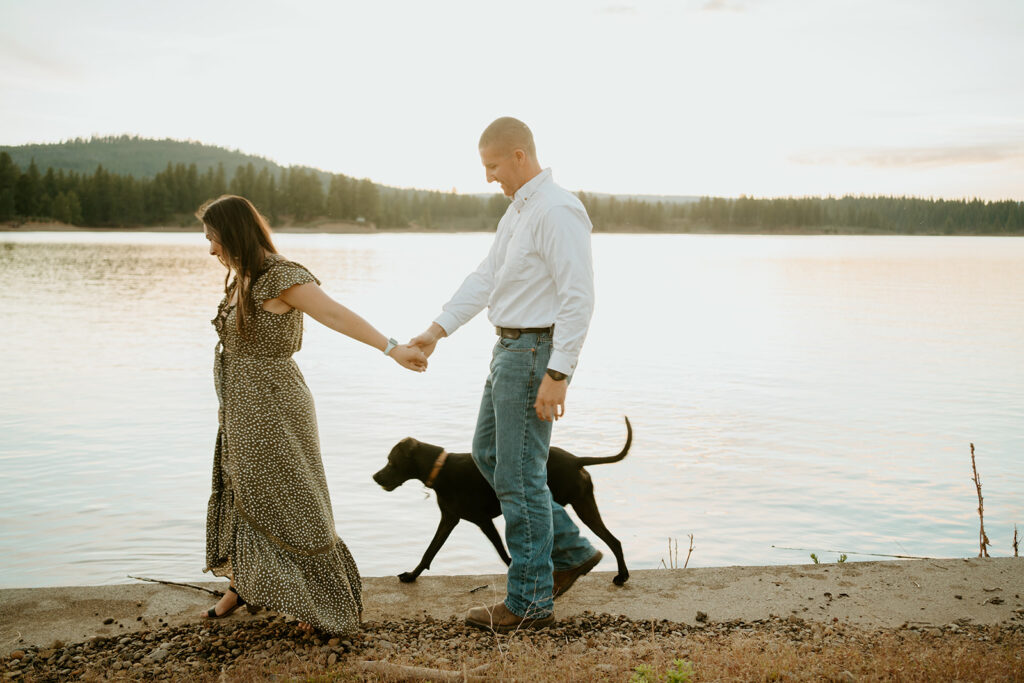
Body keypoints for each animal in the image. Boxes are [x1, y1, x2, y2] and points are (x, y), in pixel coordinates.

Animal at [374, 417, 630, 589]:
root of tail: (576, 460)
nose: (375, 477)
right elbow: (429, 552)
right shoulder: (449, 520)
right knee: (613, 540)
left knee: (610, 540)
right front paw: (411, 575)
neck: (441, 469)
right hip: (582, 503)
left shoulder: (483, 521)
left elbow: (502, 552)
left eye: (391, 461)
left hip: (572, 505)